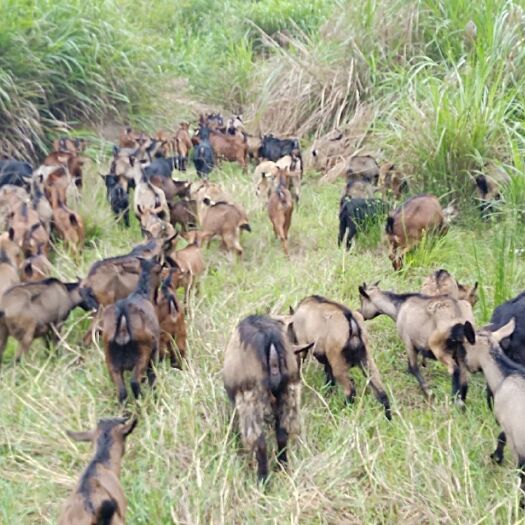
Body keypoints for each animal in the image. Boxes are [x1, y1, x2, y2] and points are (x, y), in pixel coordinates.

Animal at [101, 258, 161, 402]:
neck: (142, 294)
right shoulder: (155, 350)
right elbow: (153, 376)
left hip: (111, 362)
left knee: (122, 392)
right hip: (142, 355)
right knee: (134, 382)